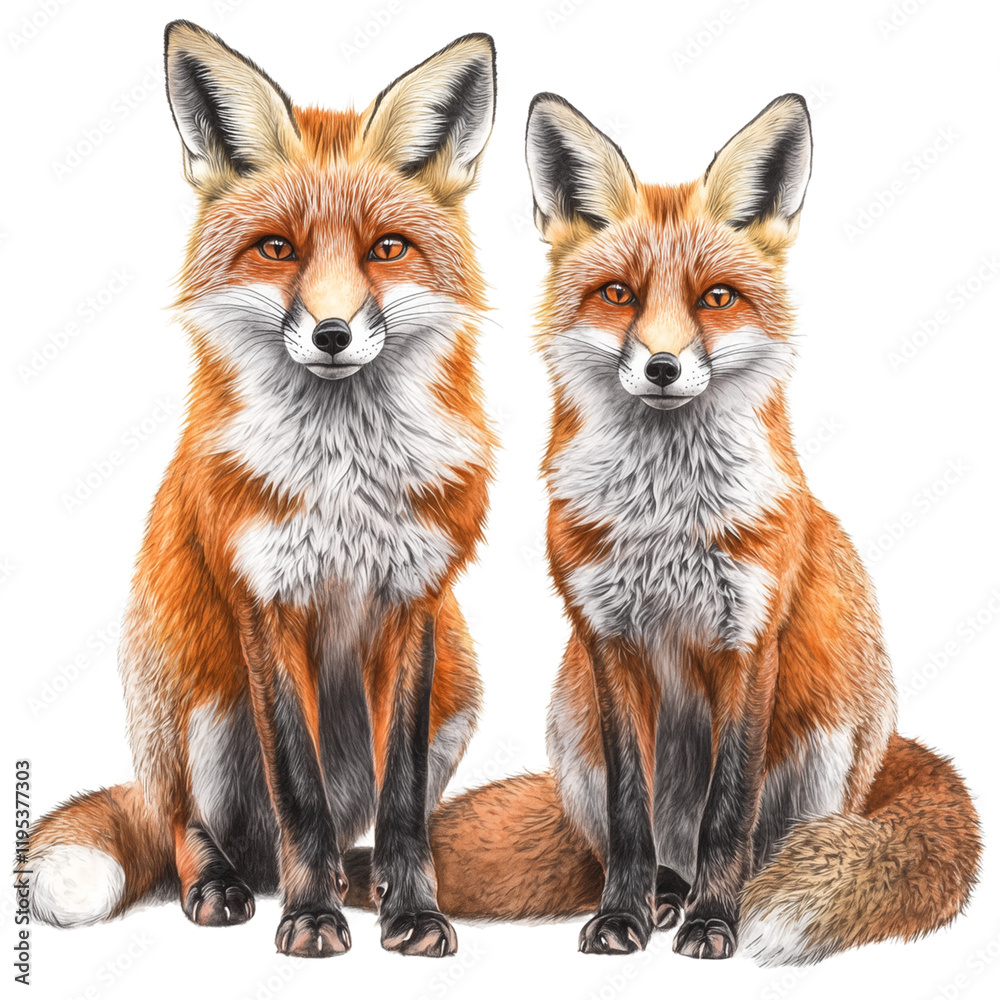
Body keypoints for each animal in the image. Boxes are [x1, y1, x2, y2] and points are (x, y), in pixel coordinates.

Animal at [29, 21, 497, 958]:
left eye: (386, 249)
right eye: (277, 248)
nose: (332, 333)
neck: (346, 480)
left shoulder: (416, 602)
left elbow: (401, 803)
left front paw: (414, 912)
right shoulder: (265, 602)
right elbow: (299, 791)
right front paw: (312, 918)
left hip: (461, 687)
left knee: (359, 819)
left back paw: (357, 881)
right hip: (195, 704)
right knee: (188, 827)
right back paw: (224, 883)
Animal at [419, 93, 982, 965]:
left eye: (716, 298)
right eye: (618, 294)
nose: (661, 367)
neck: (664, 522)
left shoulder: (748, 643)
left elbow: (729, 812)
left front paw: (718, 922)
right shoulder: (608, 641)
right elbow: (631, 814)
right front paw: (622, 914)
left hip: (827, 738)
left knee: (764, 843)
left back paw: (718, 900)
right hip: (571, 723)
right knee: (649, 845)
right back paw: (662, 896)